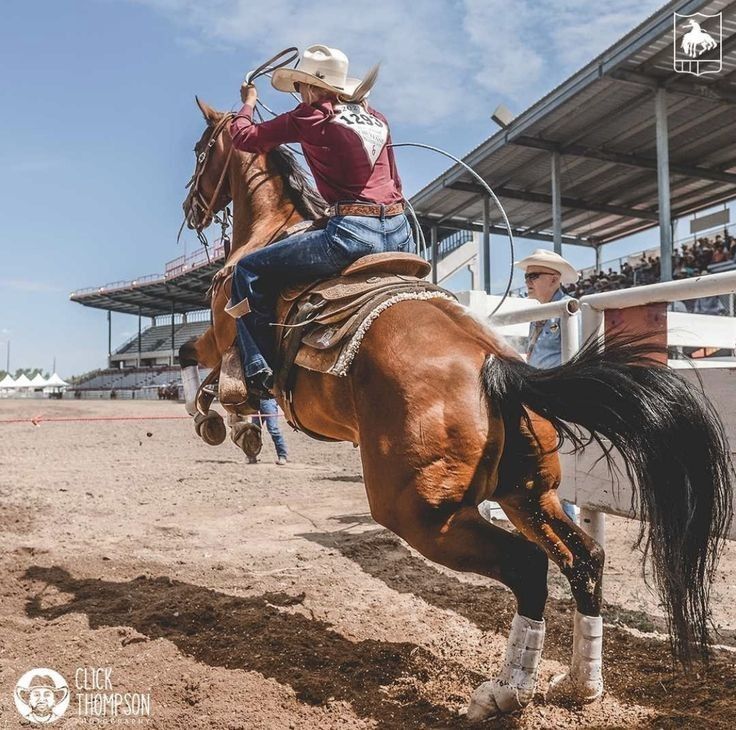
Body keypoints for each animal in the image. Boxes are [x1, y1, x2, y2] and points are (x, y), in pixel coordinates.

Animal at [177, 96, 732, 716]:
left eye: (201, 151)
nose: (191, 207)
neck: (271, 231)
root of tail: (499, 367)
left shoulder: (224, 329)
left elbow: (199, 360)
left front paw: (223, 417)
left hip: (421, 514)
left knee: (528, 566)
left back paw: (503, 692)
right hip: (528, 493)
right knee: (583, 559)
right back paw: (578, 685)